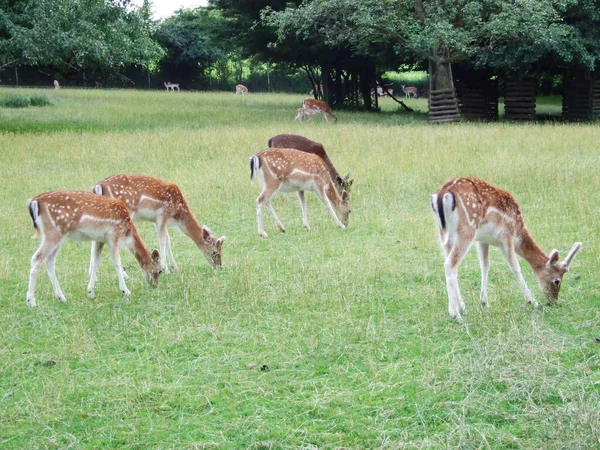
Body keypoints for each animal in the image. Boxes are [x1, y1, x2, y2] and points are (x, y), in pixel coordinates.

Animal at [27, 190, 161, 306]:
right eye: (159, 271)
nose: (155, 285)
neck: (126, 232)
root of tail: (34, 202)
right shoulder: (112, 235)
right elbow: (117, 262)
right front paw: (125, 291)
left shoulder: (99, 239)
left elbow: (96, 261)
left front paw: (90, 292)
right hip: (54, 233)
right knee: (36, 258)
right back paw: (31, 302)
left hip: (56, 235)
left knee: (49, 261)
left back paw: (61, 297)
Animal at [91, 175, 225, 272]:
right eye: (215, 252)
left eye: (221, 250)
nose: (220, 267)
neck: (178, 215)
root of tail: (98, 186)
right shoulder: (162, 215)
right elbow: (163, 240)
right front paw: (166, 270)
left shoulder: (156, 220)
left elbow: (168, 240)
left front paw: (175, 267)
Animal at [432, 176, 580, 320]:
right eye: (557, 281)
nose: (553, 301)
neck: (518, 232)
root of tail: (442, 194)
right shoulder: (507, 236)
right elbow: (515, 267)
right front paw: (533, 302)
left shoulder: (482, 240)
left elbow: (485, 265)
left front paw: (484, 302)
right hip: (467, 230)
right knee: (450, 263)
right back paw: (455, 314)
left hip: (445, 235)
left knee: (451, 263)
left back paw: (462, 307)